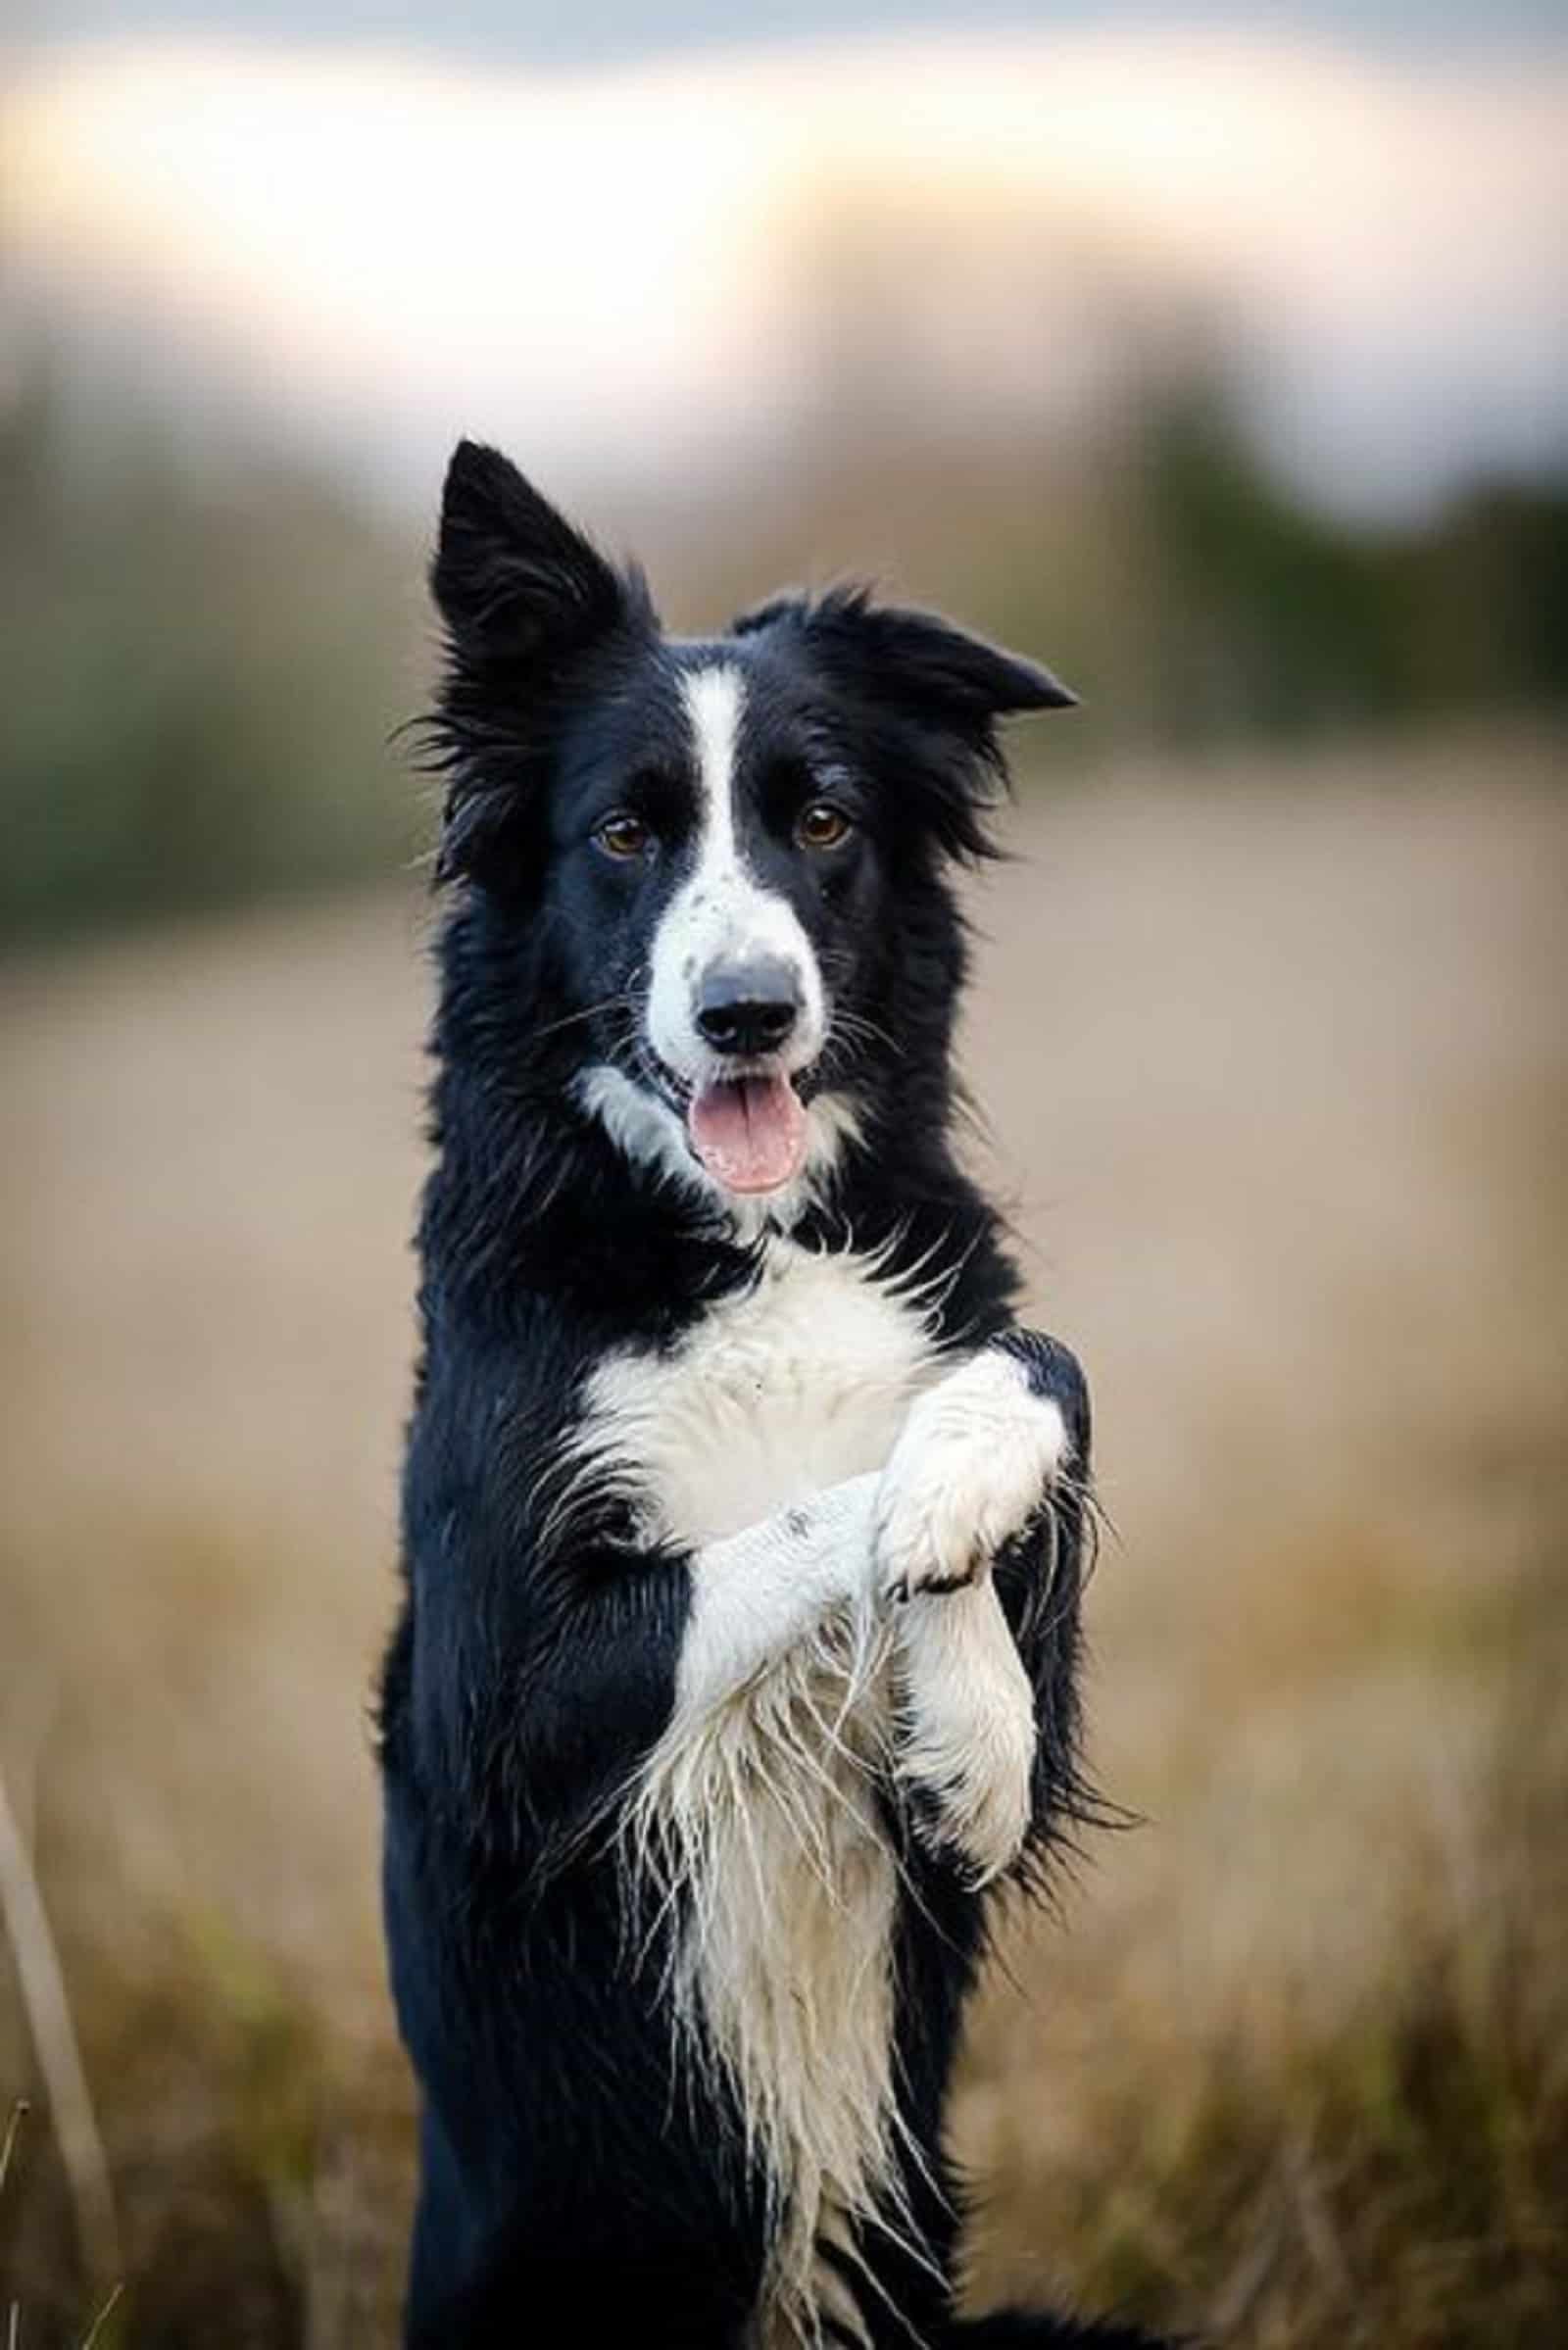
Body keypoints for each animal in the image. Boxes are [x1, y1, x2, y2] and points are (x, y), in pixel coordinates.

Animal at [378, 444, 1161, 2350]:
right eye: (623, 832)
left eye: (821, 821)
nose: (746, 1012)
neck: (741, 1239)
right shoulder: (501, 1698)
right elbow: (790, 1527)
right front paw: (918, 1520)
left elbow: (1037, 1365)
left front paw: (966, 1690)